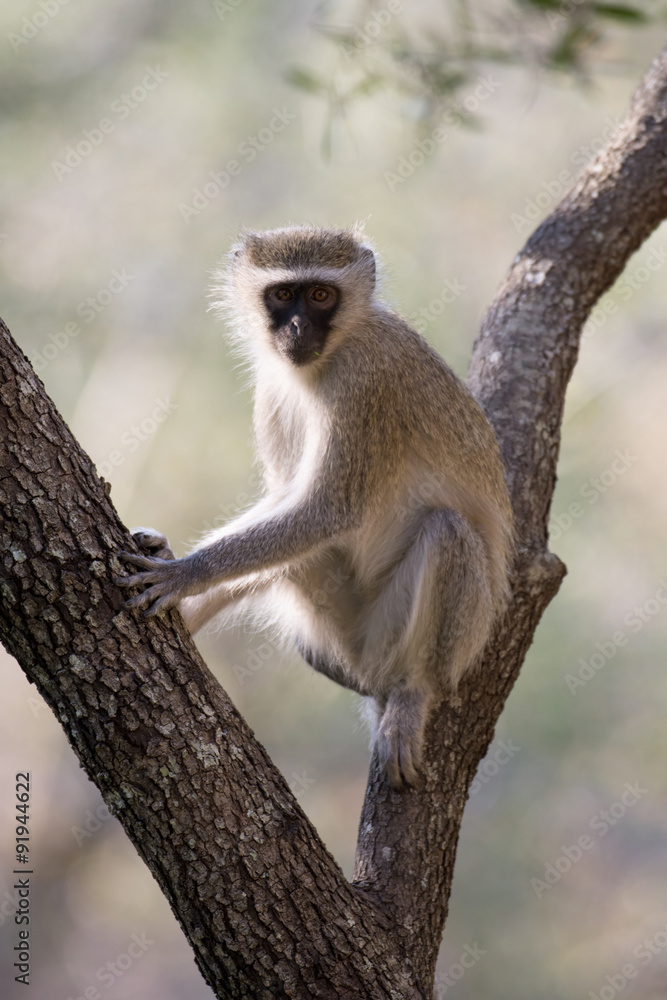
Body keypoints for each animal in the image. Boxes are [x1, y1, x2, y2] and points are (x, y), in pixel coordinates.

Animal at [117, 225, 514, 789]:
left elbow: (327, 511)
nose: (298, 326)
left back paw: (413, 691)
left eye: (321, 295)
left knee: (447, 532)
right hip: (336, 631)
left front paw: (187, 573)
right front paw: (177, 567)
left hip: (393, 639)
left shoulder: (366, 379)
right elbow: (288, 501)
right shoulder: (271, 389)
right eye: (284, 294)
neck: (329, 356)